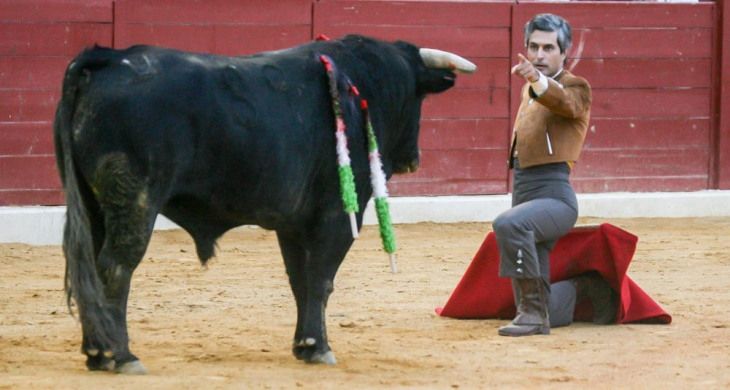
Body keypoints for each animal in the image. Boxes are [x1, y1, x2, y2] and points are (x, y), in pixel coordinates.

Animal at [52, 35, 472, 374]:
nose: (412, 159)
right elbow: (322, 278)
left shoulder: (293, 224)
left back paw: (96, 353)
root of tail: (107, 58)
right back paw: (120, 356)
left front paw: (305, 345)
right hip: (135, 201)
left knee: (90, 268)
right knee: (115, 268)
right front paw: (320, 347)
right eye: (418, 96)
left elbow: (300, 280)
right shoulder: (337, 216)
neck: (361, 85)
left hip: (93, 205)